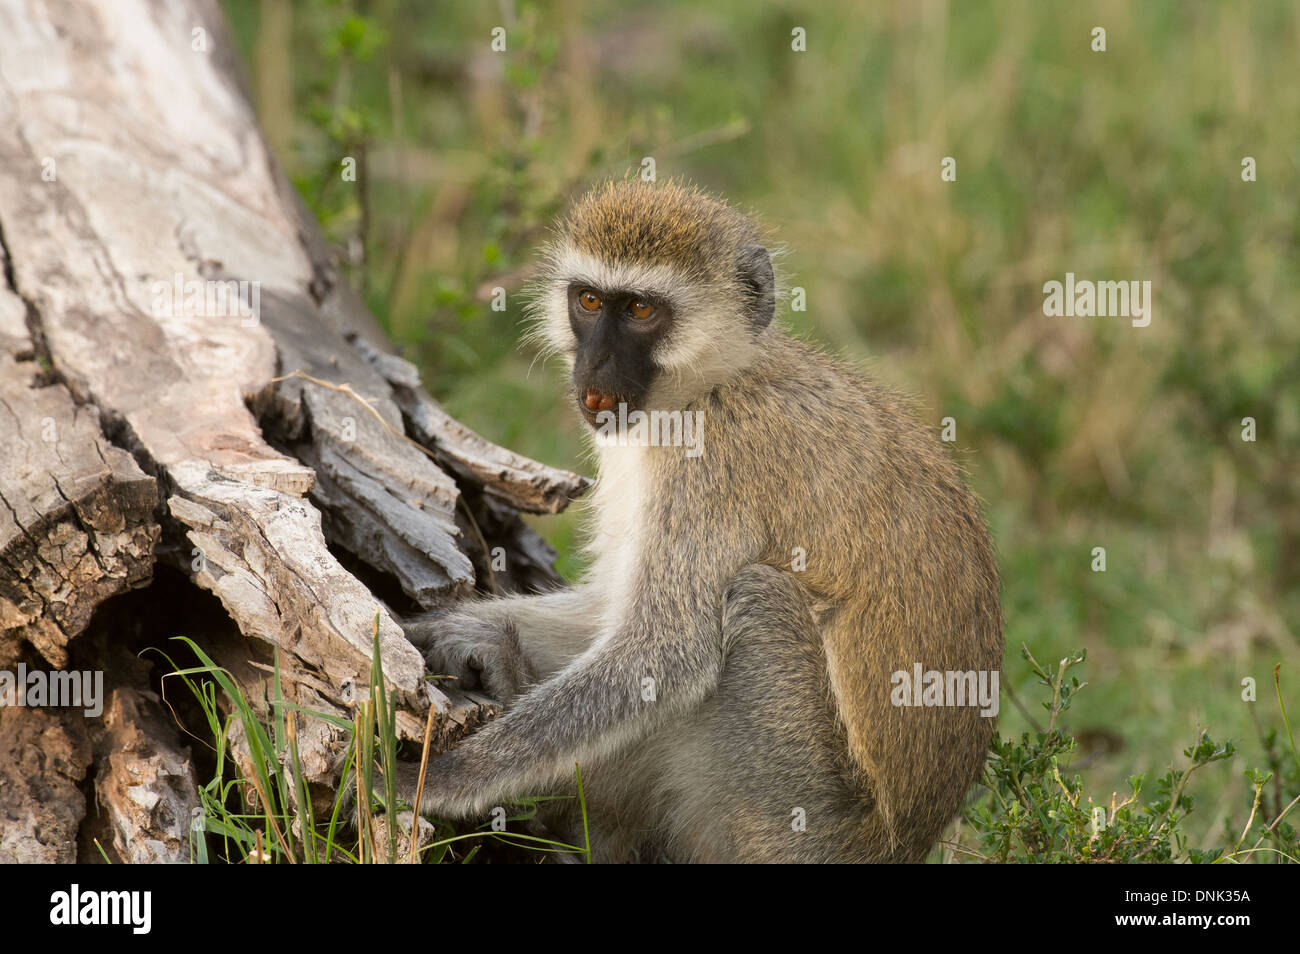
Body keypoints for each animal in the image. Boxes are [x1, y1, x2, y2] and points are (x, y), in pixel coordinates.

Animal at [390, 179, 998, 868]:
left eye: (641, 311)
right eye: (590, 300)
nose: (595, 368)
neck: (712, 383)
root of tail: (901, 845)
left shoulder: (711, 464)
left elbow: (666, 649)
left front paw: (439, 779)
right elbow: (609, 608)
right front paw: (451, 625)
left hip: (800, 812)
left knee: (754, 598)